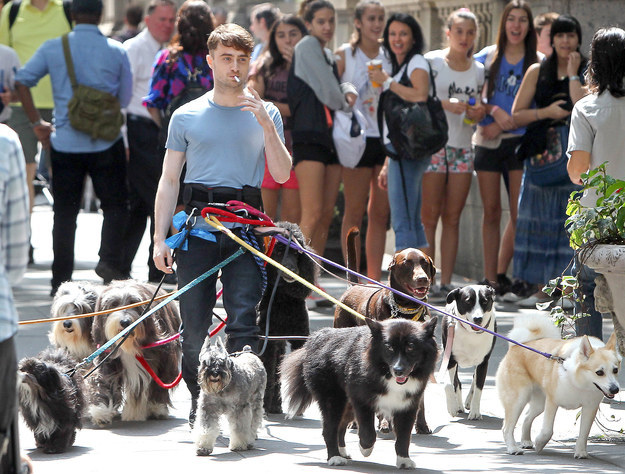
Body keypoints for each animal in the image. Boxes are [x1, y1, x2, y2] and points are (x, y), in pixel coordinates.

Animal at [88, 282, 180, 426]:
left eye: (133, 302)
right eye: (114, 304)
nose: (125, 322)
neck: (128, 344)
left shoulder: (162, 359)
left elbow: (158, 381)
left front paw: (156, 407)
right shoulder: (107, 357)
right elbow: (104, 379)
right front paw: (101, 411)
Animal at [256, 220, 316, 412]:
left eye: (297, 252)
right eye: (279, 251)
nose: (292, 269)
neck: (282, 298)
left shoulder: (300, 336)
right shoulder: (266, 341)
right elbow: (267, 370)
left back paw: (275, 404)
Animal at [280, 316, 436, 468]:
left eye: (410, 347)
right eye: (389, 347)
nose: (398, 370)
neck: (384, 372)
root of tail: (316, 338)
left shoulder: (407, 406)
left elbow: (404, 436)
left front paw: (404, 460)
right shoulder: (362, 401)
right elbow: (368, 433)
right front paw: (365, 448)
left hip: (347, 406)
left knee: (340, 427)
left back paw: (342, 452)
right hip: (334, 400)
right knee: (330, 429)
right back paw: (335, 457)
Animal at [442, 284, 494, 420]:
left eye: (485, 301)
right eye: (468, 301)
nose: (478, 319)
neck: (471, 334)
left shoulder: (483, 362)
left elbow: (478, 388)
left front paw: (475, 412)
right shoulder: (450, 359)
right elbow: (449, 384)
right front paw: (452, 407)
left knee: (474, 380)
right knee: (457, 383)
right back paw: (458, 405)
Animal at [498, 314, 620, 460]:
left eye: (615, 370)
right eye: (599, 372)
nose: (615, 389)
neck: (579, 383)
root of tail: (518, 345)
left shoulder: (590, 408)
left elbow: (584, 433)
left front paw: (580, 452)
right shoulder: (552, 402)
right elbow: (547, 430)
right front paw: (540, 443)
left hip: (539, 404)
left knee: (527, 417)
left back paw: (526, 441)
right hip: (519, 399)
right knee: (506, 428)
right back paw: (512, 448)